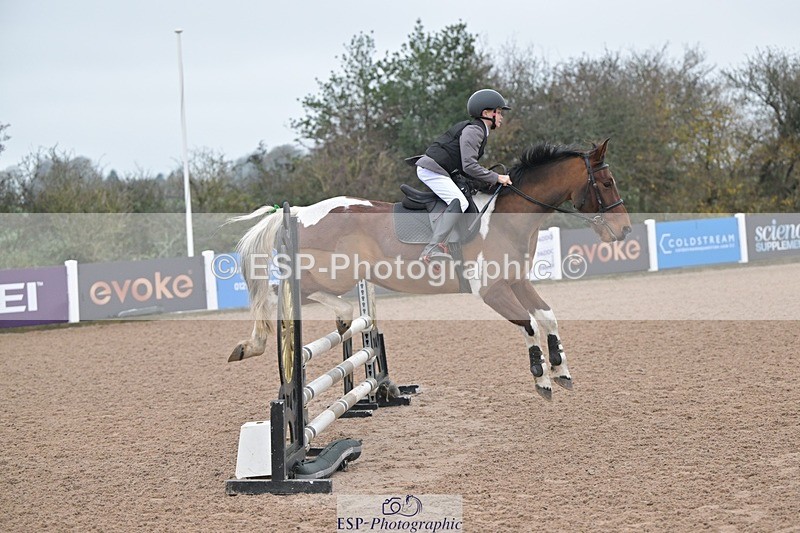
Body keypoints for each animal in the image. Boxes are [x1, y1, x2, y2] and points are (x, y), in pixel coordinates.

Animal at [228, 139, 631, 400]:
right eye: (607, 182)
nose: (625, 230)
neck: (508, 217)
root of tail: (298, 213)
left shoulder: (515, 280)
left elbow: (547, 316)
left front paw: (561, 370)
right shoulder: (492, 290)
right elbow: (529, 323)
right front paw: (541, 378)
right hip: (333, 273)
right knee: (284, 291)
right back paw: (264, 340)